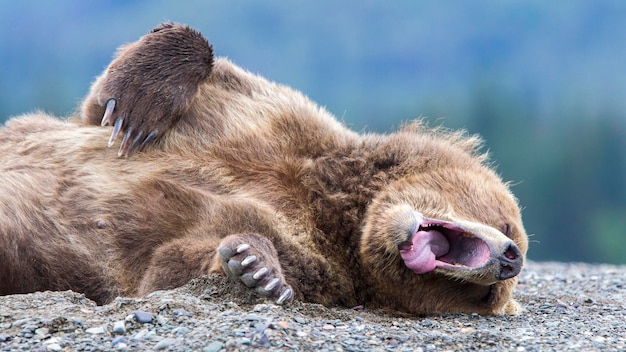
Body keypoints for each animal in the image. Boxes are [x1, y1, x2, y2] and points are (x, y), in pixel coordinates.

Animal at [0, 24, 528, 316]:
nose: (510, 259)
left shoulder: (319, 263)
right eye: (506, 223)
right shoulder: (263, 119)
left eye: (486, 298)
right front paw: (136, 105)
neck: (340, 210)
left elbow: (170, 265)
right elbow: (102, 104)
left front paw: (255, 267)